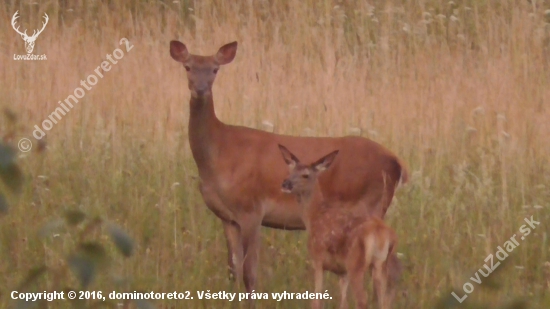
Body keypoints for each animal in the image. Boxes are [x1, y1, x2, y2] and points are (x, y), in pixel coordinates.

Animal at [280, 145, 396, 308]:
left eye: (305, 175)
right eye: (290, 171)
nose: (286, 184)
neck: (314, 216)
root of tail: (380, 233)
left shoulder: (317, 258)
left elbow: (316, 300)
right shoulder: (342, 272)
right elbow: (343, 302)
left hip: (356, 263)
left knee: (363, 300)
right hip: (380, 264)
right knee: (384, 300)